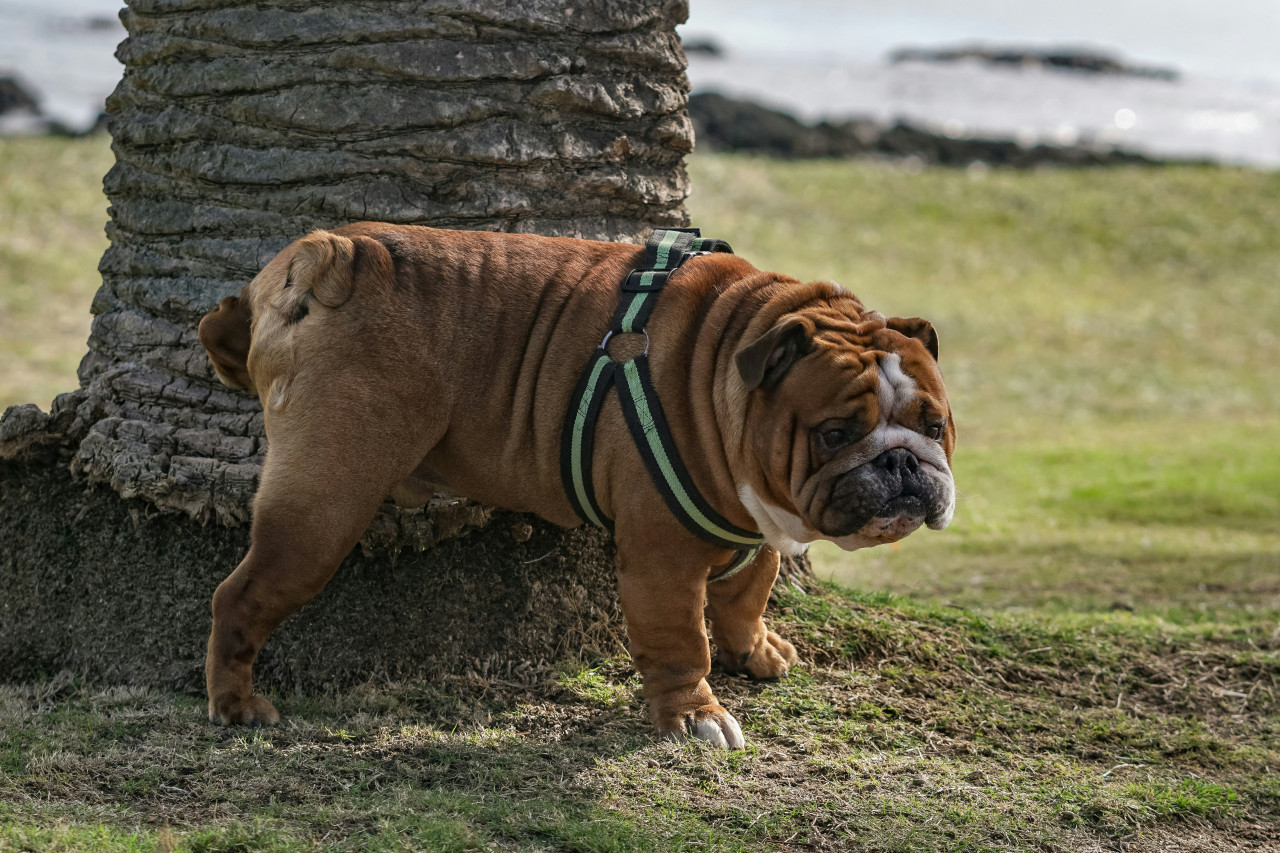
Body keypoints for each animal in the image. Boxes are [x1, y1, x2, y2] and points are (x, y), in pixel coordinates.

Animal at [199, 222, 957, 747]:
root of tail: (331, 253)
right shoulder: (662, 561)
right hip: (322, 504)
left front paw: (756, 651)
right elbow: (682, 641)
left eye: (935, 424)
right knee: (240, 596)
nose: (902, 462)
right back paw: (236, 705)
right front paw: (695, 715)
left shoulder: (758, 528)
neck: (722, 365)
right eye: (834, 433)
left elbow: (748, 593)